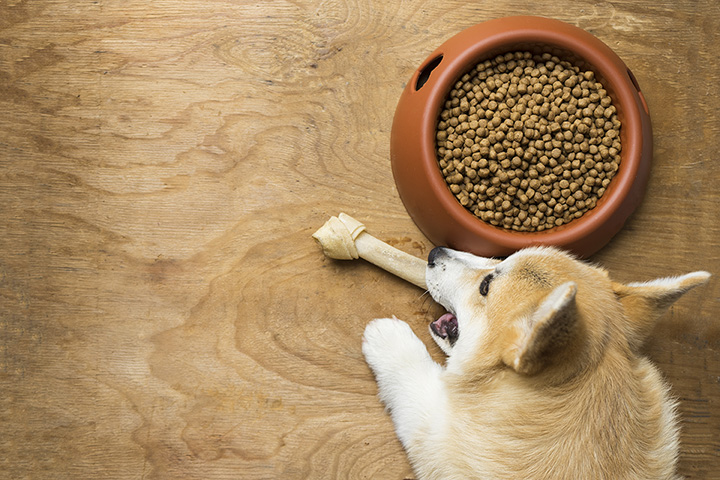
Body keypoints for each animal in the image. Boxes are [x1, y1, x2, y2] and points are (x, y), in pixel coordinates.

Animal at [362, 246, 712, 478]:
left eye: (486, 286)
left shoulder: (441, 444)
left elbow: (417, 387)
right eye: (502, 257)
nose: (435, 251)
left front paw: (389, 340)